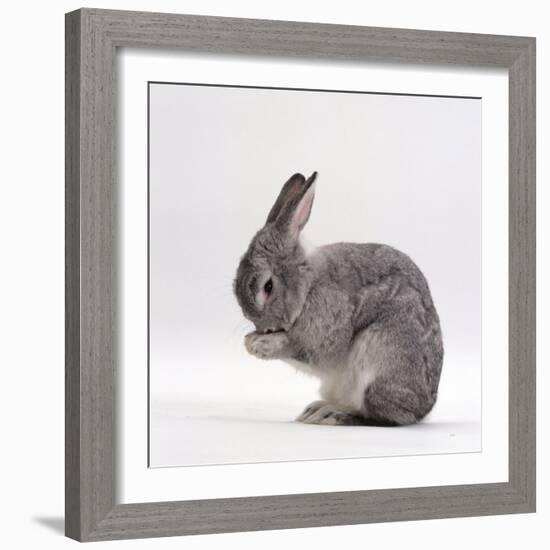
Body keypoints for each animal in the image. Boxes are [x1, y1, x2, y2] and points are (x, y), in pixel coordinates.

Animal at [233, 172, 444, 426]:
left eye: (268, 286)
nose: (263, 328)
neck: (310, 283)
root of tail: (423, 409)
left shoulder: (324, 332)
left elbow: (301, 348)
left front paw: (258, 344)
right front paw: (250, 340)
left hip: (379, 361)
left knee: (378, 416)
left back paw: (331, 414)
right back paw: (315, 410)